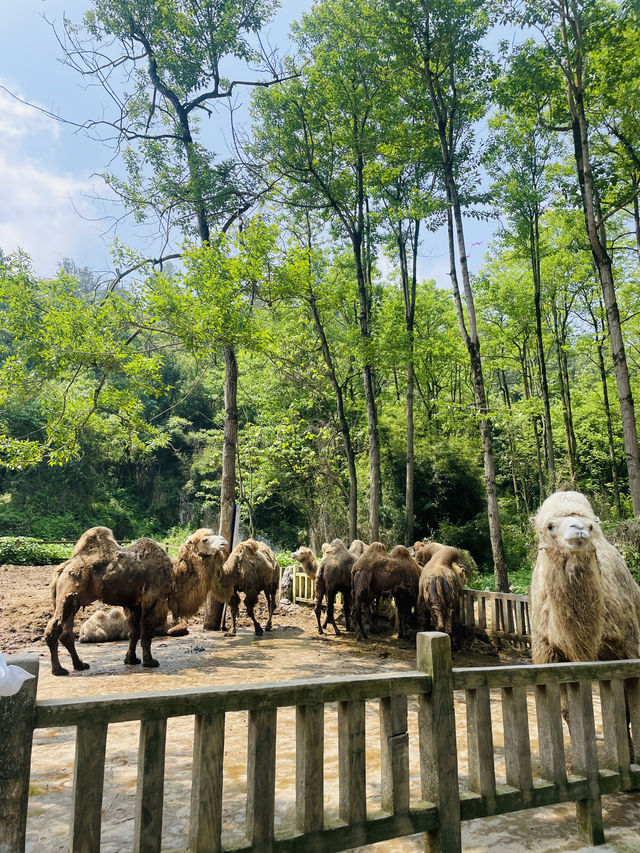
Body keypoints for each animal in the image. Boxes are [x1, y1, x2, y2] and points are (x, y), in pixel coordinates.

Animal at [43, 524, 174, 676]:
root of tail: (62, 568)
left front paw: (131, 659)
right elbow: (146, 631)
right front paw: (150, 662)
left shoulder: (135, 604)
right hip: (71, 584)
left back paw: (80, 665)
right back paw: (59, 670)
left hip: (71, 596)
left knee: (66, 631)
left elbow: (134, 631)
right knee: (57, 625)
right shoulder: (153, 598)